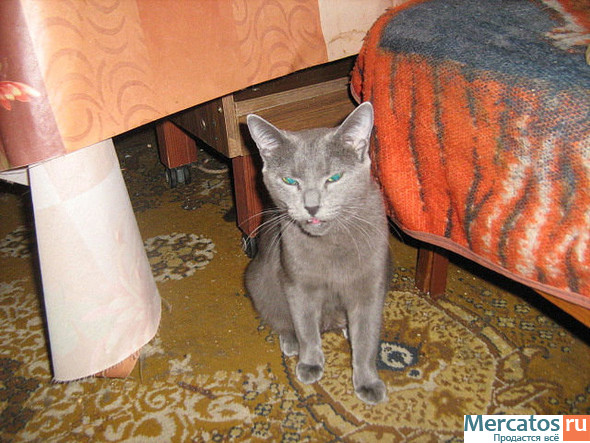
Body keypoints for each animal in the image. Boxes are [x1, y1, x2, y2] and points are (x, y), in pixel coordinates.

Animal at [245, 102, 390, 405]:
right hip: (259, 282)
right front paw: (310, 363)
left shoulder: (370, 286)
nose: (311, 206)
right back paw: (290, 342)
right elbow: (306, 327)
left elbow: (367, 337)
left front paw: (368, 381)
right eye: (290, 180)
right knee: (281, 319)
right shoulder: (299, 284)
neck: (331, 243)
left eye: (333, 178)